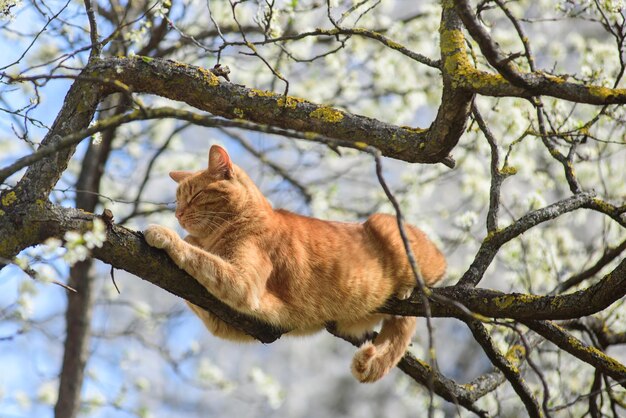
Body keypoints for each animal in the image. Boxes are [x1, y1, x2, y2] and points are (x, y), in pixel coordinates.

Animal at [144, 145, 446, 384]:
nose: (177, 214)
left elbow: (197, 255)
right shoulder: (225, 323)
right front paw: (184, 237)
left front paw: (163, 233)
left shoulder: (243, 285)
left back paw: (409, 287)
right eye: (177, 200)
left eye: (194, 196)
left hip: (387, 225)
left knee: (441, 266)